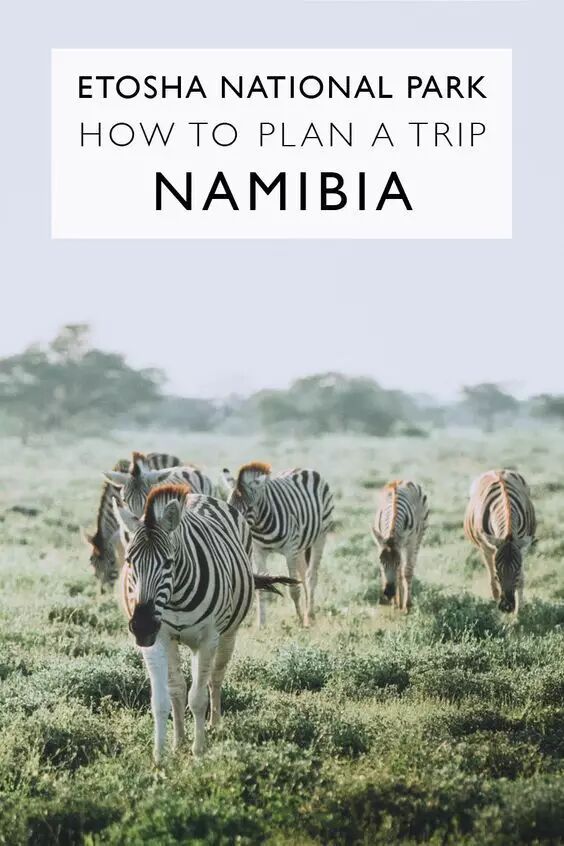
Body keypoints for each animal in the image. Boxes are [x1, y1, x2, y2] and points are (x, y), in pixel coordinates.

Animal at [113, 483, 296, 763]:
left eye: (168, 562)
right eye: (129, 562)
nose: (142, 626)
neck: (175, 598)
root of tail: (199, 497)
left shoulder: (208, 637)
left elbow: (198, 698)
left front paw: (198, 751)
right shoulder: (159, 640)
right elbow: (165, 697)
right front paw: (163, 753)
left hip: (227, 634)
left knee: (215, 677)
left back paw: (214, 725)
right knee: (182, 687)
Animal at [223, 462, 334, 628]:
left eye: (249, 508)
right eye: (229, 505)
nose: (232, 527)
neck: (260, 526)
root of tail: (302, 468)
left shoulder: (290, 550)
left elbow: (294, 588)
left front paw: (299, 621)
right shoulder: (259, 552)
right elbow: (261, 589)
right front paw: (261, 625)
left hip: (321, 535)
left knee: (311, 576)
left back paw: (309, 616)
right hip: (300, 545)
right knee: (303, 572)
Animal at [372, 480, 429, 611]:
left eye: (397, 562)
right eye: (381, 561)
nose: (389, 593)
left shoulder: (411, 542)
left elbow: (406, 571)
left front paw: (407, 605)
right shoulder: (380, 543)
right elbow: (390, 573)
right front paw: (395, 602)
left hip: (418, 538)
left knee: (409, 568)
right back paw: (397, 602)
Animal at [464, 469, 537, 613]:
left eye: (517, 571)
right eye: (498, 572)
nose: (507, 607)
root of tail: (497, 470)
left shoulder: (522, 546)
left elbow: (521, 581)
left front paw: (519, 614)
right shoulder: (486, 547)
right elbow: (493, 582)